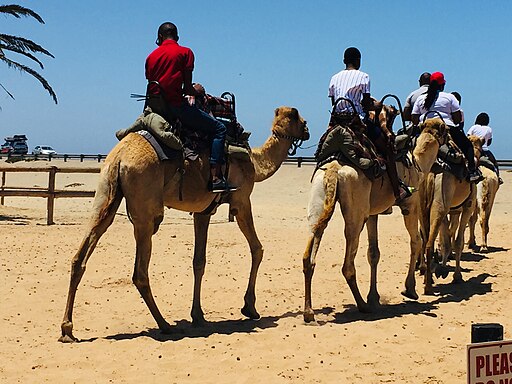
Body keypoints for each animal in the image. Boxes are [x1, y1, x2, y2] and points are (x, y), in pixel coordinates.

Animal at [59, 106, 308, 342]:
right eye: (297, 117)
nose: (307, 130)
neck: (255, 163)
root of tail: (119, 158)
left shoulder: (203, 211)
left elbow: (199, 262)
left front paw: (198, 315)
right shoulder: (241, 200)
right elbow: (257, 249)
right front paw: (250, 308)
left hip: (104, 193)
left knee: (80, 256)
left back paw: (67, 329)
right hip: (146, 211)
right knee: (140, 272)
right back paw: (164, 325)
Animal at [302, 118, 446, 324]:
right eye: (446, 131)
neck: (417, 163)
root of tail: (334, 170)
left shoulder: (373, 214)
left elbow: (373, 253)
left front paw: (374, 296)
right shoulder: (410, 205)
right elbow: (415, 242)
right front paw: (409, 289)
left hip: (319, 199)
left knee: (310, 250)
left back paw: (309, 312)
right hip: (356, 211)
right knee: (347, 263)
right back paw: (362, 306)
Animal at [416, 134, 484, 292]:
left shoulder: (452, 211)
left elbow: (446, 239)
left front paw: (442, 267)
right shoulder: (467, 207)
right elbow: (457, 242)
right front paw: (456, 276)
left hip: (423, 207)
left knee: (424, 237)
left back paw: (425, 273)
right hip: (440, 204)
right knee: (429, 242)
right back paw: (428, 285)